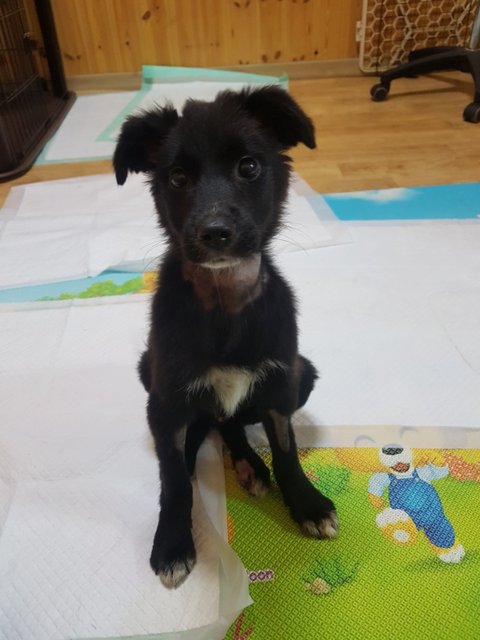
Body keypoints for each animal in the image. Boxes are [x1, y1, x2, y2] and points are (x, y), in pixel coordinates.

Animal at [113, 86, 338, 589]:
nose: (214, 232)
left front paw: (307, 504)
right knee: (214, 426)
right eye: (177, 177)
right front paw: (172, 543)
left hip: (304, 375)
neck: (224, 302)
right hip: (147, 376)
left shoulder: (279, 384)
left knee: (232, 423)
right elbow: (174, 480)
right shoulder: (168, 401)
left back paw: (249, 465)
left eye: (249, 167)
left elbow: (287, 451)